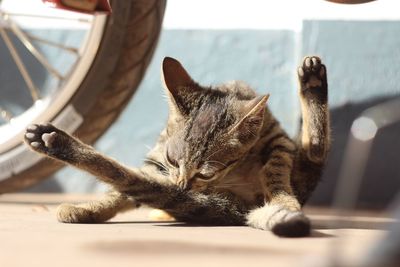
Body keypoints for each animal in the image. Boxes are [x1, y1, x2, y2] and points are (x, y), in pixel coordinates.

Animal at [25, 55, 332, 238]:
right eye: (173, 160)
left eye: (206, 173)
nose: (183, 185)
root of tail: (236, 208)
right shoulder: (157, 160)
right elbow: (121, 192)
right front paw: (90, 208)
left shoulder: (277, 139)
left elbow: (276, 171)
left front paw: (283, 201)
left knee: (315, 149)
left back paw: (313, 83)